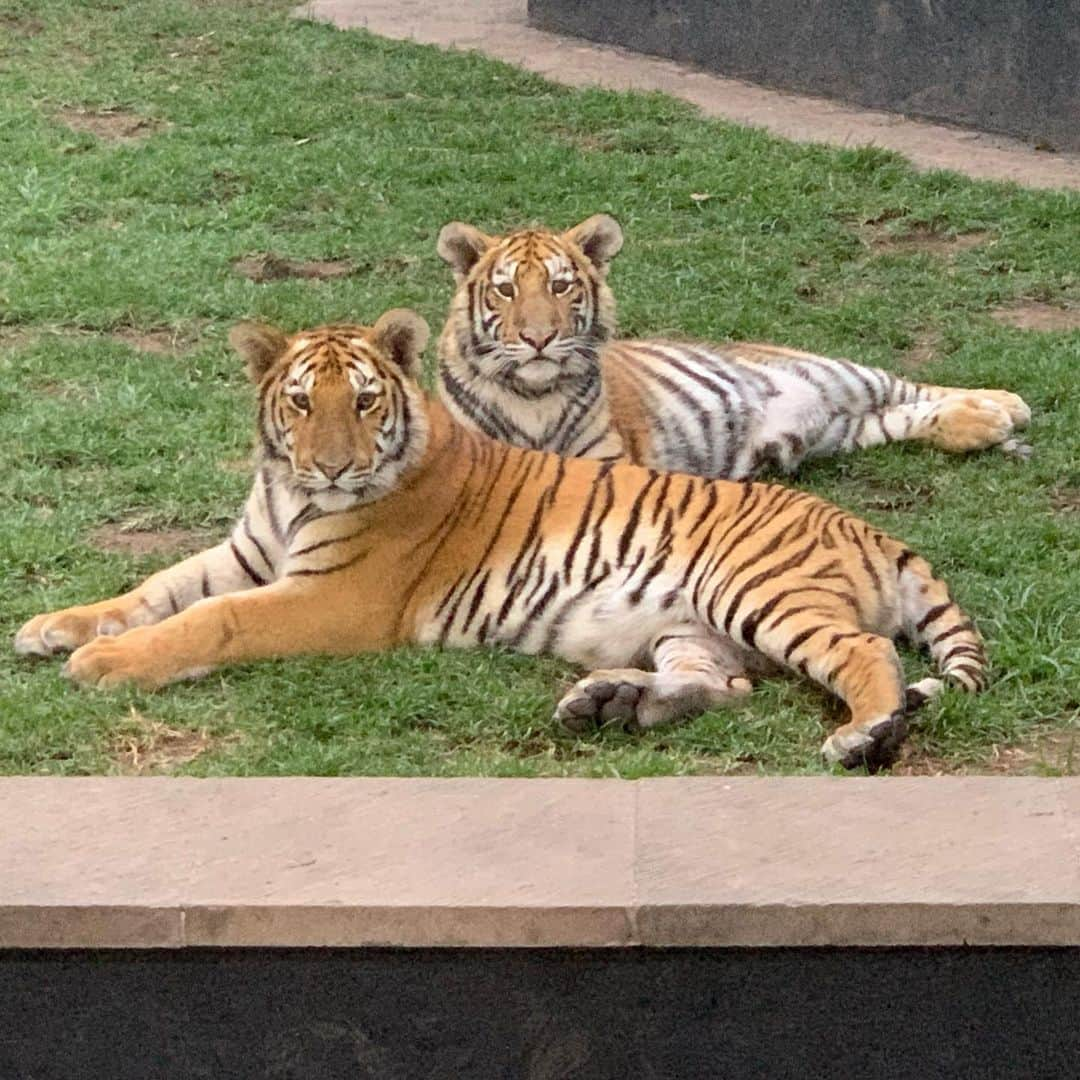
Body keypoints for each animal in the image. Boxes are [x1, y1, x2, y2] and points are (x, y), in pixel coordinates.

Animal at [14, 308, 989, 773]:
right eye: (299, 402)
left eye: (362, 401)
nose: (331, 467)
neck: (290, 496)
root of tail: (872, 528)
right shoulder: (247, 552)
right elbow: (154, 590)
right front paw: (53, 626)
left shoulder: (334, 595)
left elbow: (210, 621)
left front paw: (101, 664)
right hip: (693, 629)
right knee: (723, 687)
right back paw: (610, 704)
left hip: (759, 593)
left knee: (867, 655)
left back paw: (861, 739)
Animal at [436, 214, 1028, 477]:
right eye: (507, 289)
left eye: (560, 286)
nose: (539, 338)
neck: (533, 398)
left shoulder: (608, 460)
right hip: (842, 429)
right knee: (901, 416)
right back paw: (983, 424)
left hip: (839, 372)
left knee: (910, 385)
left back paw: (1006, 404)